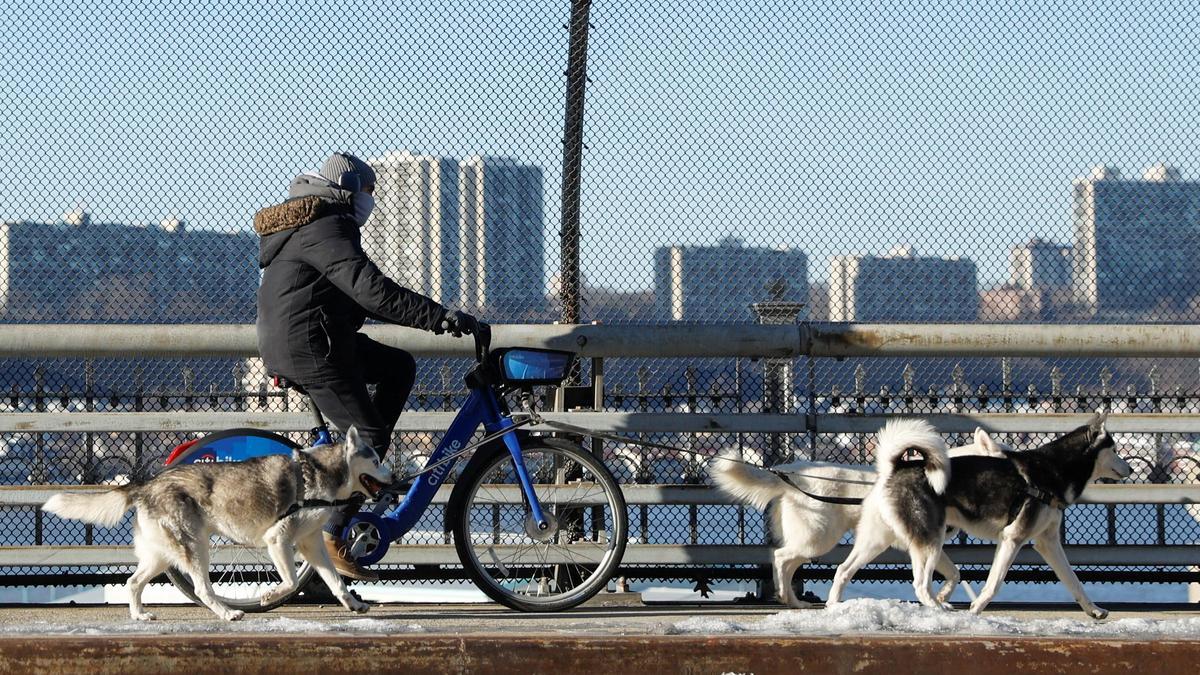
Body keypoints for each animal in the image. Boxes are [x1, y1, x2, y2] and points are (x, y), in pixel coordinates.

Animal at [43, 425, 393, 619]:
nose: (393, 477)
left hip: (162, 555)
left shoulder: (311, 545)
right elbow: (292, 582)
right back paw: (227, 613)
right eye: (376, 460)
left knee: (132, 582)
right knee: (202, 588)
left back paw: (140, 616)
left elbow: (336, 581)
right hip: (195, 548)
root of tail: (147, 484)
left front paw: (353, 604)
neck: (321, 475)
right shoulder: (278, 539)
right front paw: (269, 596)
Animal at [710, 427, 1003, 607]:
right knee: (782, 558)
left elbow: (954, 573)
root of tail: (789, 473)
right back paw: (788, 596)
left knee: (784, 562)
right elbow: (951, 574)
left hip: (814, 541)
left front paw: (942, 597)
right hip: (819, 539)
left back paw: (792, 600)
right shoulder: (926, 543)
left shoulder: (930, 545)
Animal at [830, 413, 1128, 619]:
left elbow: (1074, 581)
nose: (1131, 469)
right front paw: (975, 609)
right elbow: (994, 584)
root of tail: (894, 468)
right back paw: (938, 609)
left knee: (843, 569)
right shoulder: (1012, 538)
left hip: (879, 540)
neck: (1053, 470)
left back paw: (834, 605)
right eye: (1114, 450)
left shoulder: (1048, 543)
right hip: (930, 541)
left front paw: (1094, 610)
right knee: (921, 585)